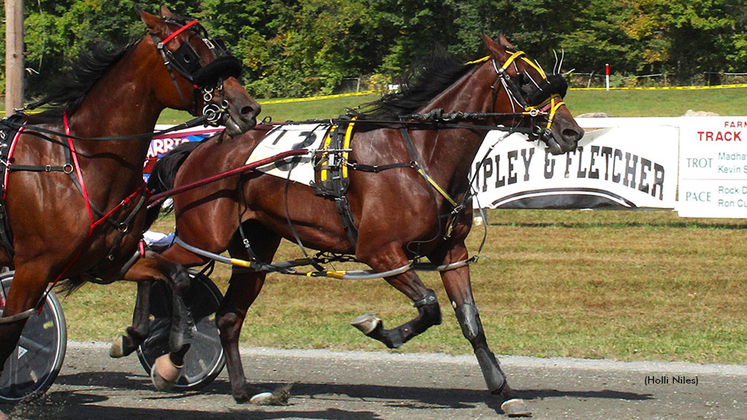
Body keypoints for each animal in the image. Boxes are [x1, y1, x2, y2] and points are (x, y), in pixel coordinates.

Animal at [0, 4, 260, 388]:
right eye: (190, 54)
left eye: (217, 46)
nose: (247, 109)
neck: (82, 160)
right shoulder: (32, 270)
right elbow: (10, 334)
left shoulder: (114, 260)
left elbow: (174, 276)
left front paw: (168, 348)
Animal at [129, 33, 584, 416]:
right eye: (525, 81)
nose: (571, 132)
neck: (417, 155)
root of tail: (198, 149)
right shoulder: (380, 253)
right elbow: (429, 307)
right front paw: (381, 329)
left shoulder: (451, 252)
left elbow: (469, 320)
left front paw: (503, 390)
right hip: (203, 232)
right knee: (157, 263)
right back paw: (160, 345)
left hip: (255, 247)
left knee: (225, 314)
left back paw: (242, 389)